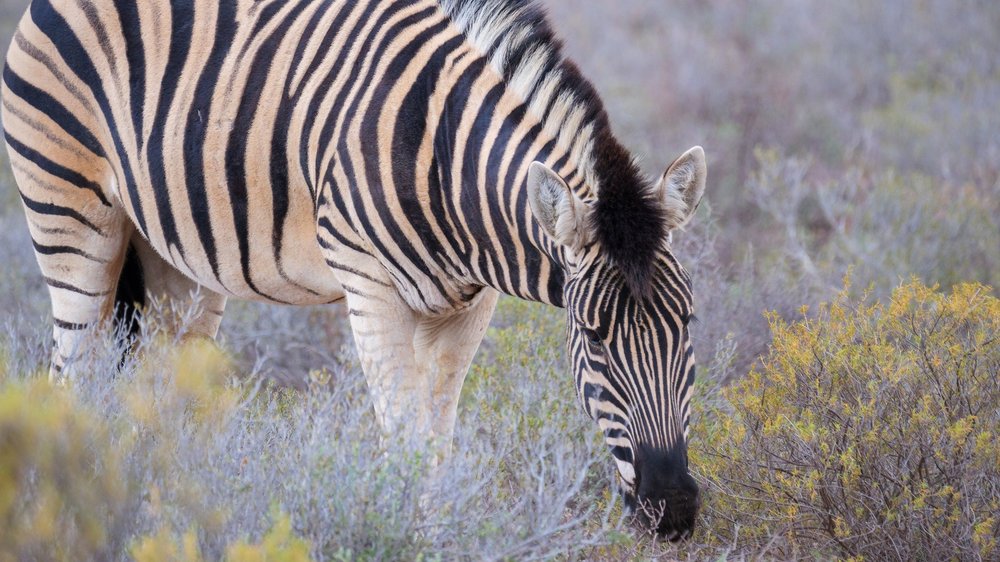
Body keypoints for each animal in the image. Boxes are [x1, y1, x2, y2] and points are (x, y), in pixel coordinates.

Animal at [5, 0, 712, 536]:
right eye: (593, 338)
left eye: (688, 326)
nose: (673, 510)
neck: (447, 160)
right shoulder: (368, 286)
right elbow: (404, 442)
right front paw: (407, 537)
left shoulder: (468, 306)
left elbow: (436, 445)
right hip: (70, 218)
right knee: (70, 378)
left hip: (173, 261)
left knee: (159, 391)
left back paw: (166, 521)